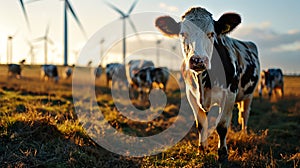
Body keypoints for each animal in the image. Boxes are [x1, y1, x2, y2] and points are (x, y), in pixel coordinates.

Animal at [155, 6, 260, 163]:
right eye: (182, 34)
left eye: (211, 33)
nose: (198, 60)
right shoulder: (191, 95)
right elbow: (201, 124)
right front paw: (201, 149)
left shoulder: (230, 94)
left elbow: (222, 126)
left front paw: (222, 154)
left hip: (249, 94)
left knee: (244, 114)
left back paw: (244, 134)